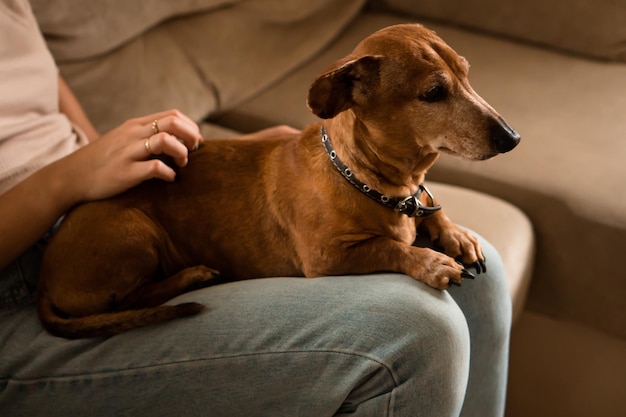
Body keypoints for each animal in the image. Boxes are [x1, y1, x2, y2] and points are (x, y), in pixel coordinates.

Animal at [36, 23, 520, 338]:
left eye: (467, 74)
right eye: (433, 93)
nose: (512, 138)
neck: (367, 180)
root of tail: (45, 281)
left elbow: (430, 210)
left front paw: (453, 234)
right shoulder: (327, 258)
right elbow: (390, 247)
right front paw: (430, 261)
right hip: (134, 230)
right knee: (132, 299)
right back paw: (192, 277)